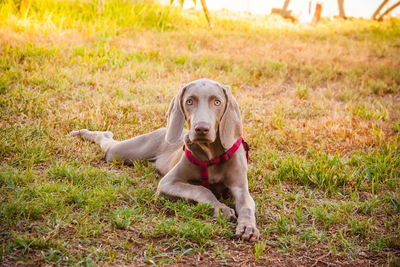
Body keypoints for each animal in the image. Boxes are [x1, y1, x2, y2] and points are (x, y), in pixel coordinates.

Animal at [69, 78, 260, 242]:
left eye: (217, 102)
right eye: (189, 101)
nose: (201, 129)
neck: (210, 154)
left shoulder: (241, 188)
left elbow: (247, 206)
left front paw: (248, 227)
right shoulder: (167, 183)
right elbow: (201, 190)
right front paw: (220, 207)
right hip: (122, 152)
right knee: (107, 143)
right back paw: (81, 133)